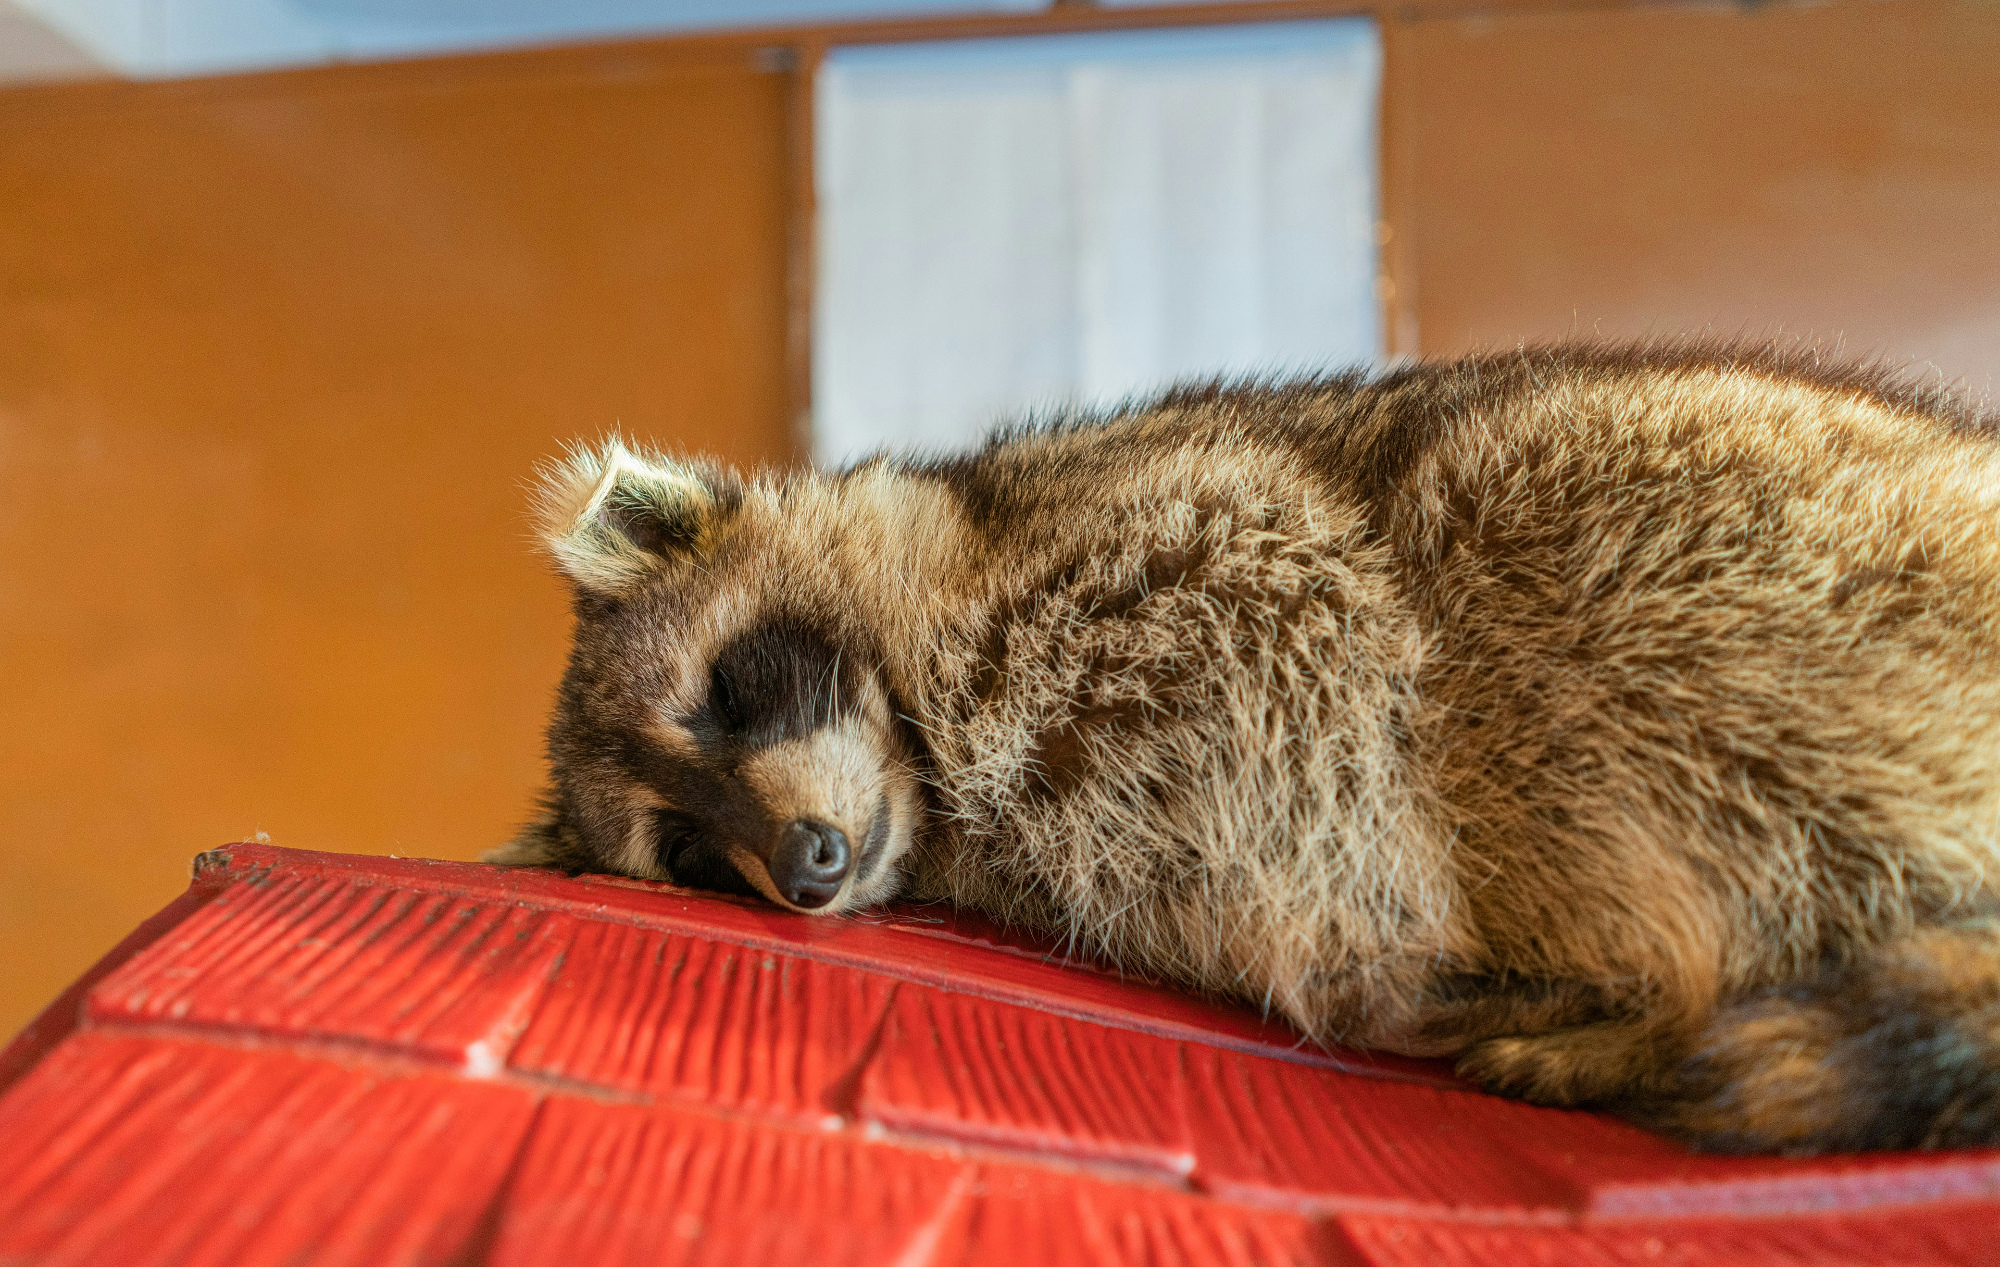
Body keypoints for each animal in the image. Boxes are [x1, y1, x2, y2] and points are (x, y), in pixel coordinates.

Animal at [488, 342, 2000, 1155]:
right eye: (687, 847)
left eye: (729, 692)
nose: (803, 862)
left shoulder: (1168, 534)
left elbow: (1308, 629)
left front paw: (1380, 935)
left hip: (1712, 521)